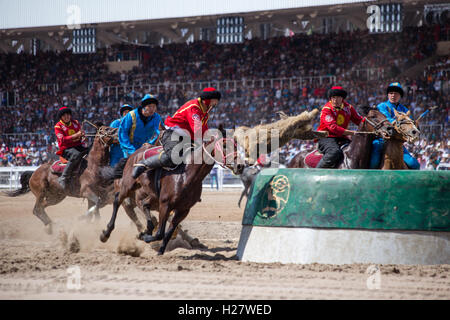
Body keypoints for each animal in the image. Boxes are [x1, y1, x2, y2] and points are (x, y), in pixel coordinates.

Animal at [100, 132, 244, 255]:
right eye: (224, 145)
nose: (240, 166)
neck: (186, 175)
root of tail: (134, 154)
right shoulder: (165, 205)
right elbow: (160, 233)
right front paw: (146, 237)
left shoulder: (183, 210)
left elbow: (168, 233)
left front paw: (159, 250)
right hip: (128, 186)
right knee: (118, 200)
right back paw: (106, 234)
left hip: (150, 195)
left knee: (144, 206)